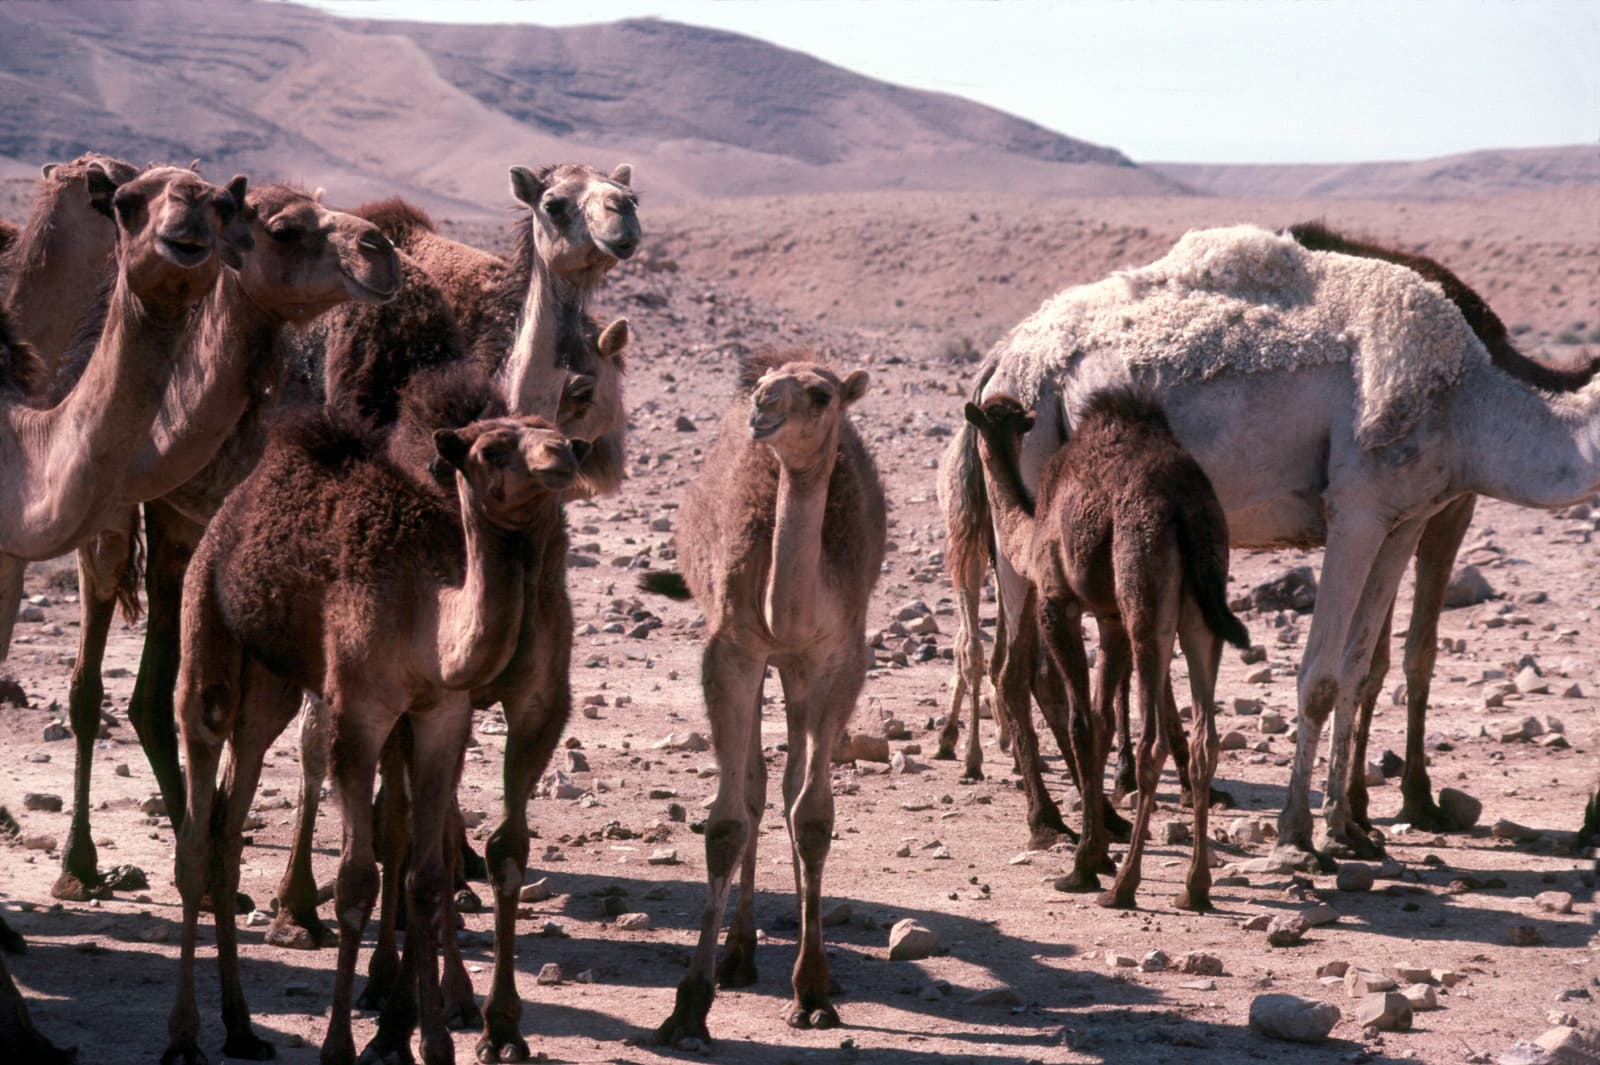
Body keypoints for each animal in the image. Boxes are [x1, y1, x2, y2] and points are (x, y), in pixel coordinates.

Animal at [162, 363, 587, 1065]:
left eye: (553, 431)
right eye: (491, 450)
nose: (565, 455)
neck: (427, 613)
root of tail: (235, 505)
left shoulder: (448, 712)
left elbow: (430, 872)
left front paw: (439, 1040)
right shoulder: (361, 712)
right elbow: (358, 877)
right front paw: (345, 1044)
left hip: (271, 684)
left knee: (230, 821)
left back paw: (243, 1027)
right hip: (206, 629)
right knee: (198, 817)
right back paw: (186, 1037)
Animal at [646, 351, 885, 1046]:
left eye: (820, 394)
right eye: (763, 386)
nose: (764, 405)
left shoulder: (838, 659)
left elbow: (813, 816)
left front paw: (813, 991)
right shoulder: (732, 650)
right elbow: (728, 820)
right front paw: (688, 1006)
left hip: (798, 674)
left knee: (787, 786)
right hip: (767, 665)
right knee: (755, 785)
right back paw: (739, 954)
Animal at [966, 390, 1248, 910]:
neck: (1031, 528)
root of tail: (1184, 507)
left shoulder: (1059, 600)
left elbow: (1083, 724)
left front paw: (1084, 865)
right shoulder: (1110, 617)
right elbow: (1101, 722)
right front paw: (1096, 851)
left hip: (1142, 587)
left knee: (1153, 741)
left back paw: (1124, 887)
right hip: (1203, 602)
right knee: (1206, 739)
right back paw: (1194, 889)